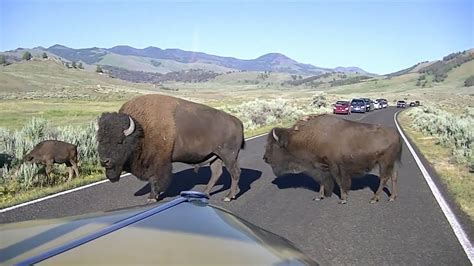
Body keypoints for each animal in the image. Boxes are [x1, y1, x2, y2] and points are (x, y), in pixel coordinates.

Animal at [96, 94, 244, 203]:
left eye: (120, 141)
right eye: (99, 140)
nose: (105, 161)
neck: (141, 129)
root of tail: (237, 121)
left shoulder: (158, 163)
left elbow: (154, 179)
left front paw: (152, 198)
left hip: (228, 156)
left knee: (235, 173)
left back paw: (228, 197)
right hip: (215, 156)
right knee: (216, 173)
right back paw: (205, 193)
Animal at [262, 114, 404, 204]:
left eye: (272, 145)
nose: (265, 158)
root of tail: (397, 134)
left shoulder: (335, 166)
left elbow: (339, 181)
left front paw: (343, 199)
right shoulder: (321, 166)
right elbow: (322, 181)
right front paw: (319, 197)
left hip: (384, 162)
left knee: (384, 178)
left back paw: (374, 199)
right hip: (392, 163)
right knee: (394, 176)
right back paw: (392, 197)